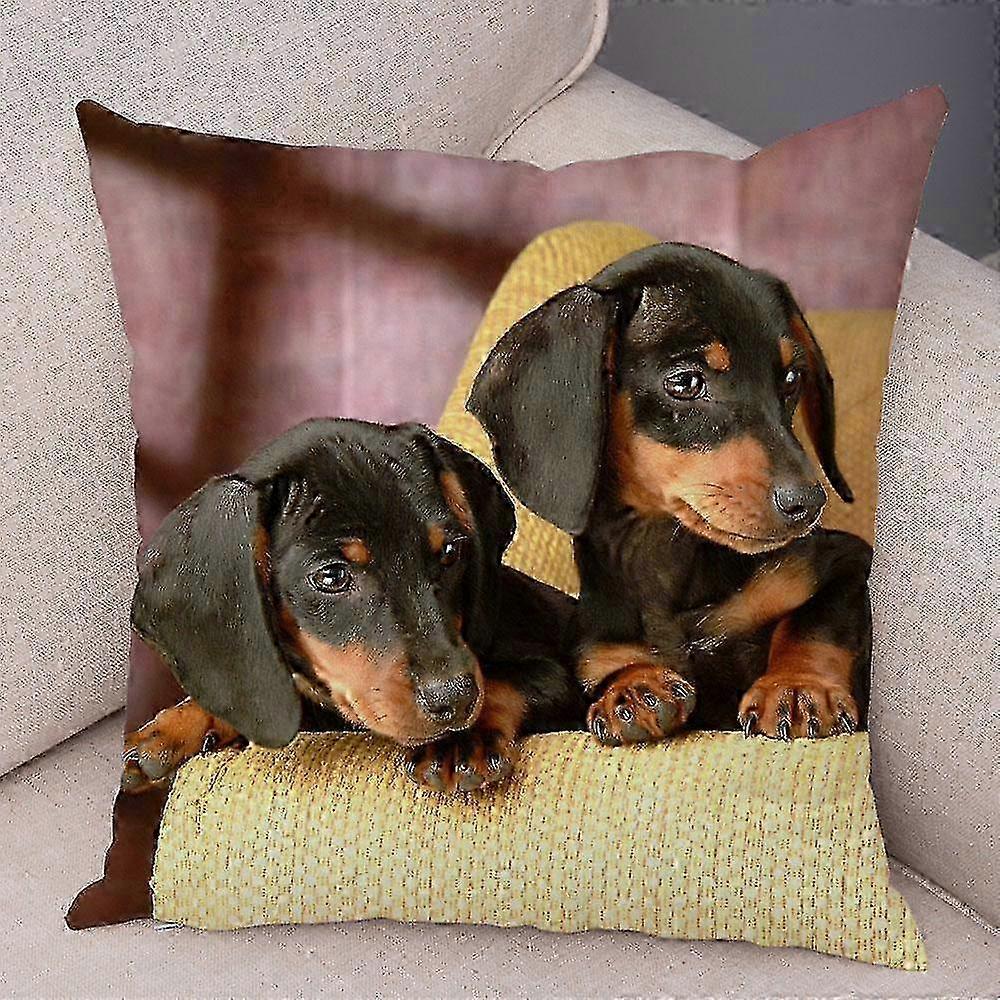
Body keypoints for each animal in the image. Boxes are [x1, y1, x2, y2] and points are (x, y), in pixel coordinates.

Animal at [122, 418, 581, 794]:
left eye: (450, 552)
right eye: (331, 577)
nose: (456, 700)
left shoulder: (557, 673)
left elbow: (507, 682)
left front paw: (459, 740)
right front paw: (170, 728)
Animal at [468, 242, 872, 744]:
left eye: (792, 379)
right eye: (685, 383)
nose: (808, 504)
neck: (665, 555)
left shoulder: (847, 562)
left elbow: (816, 622)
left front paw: (799, 686)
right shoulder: (598, 646)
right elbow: (615, 664)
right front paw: (634, 686)